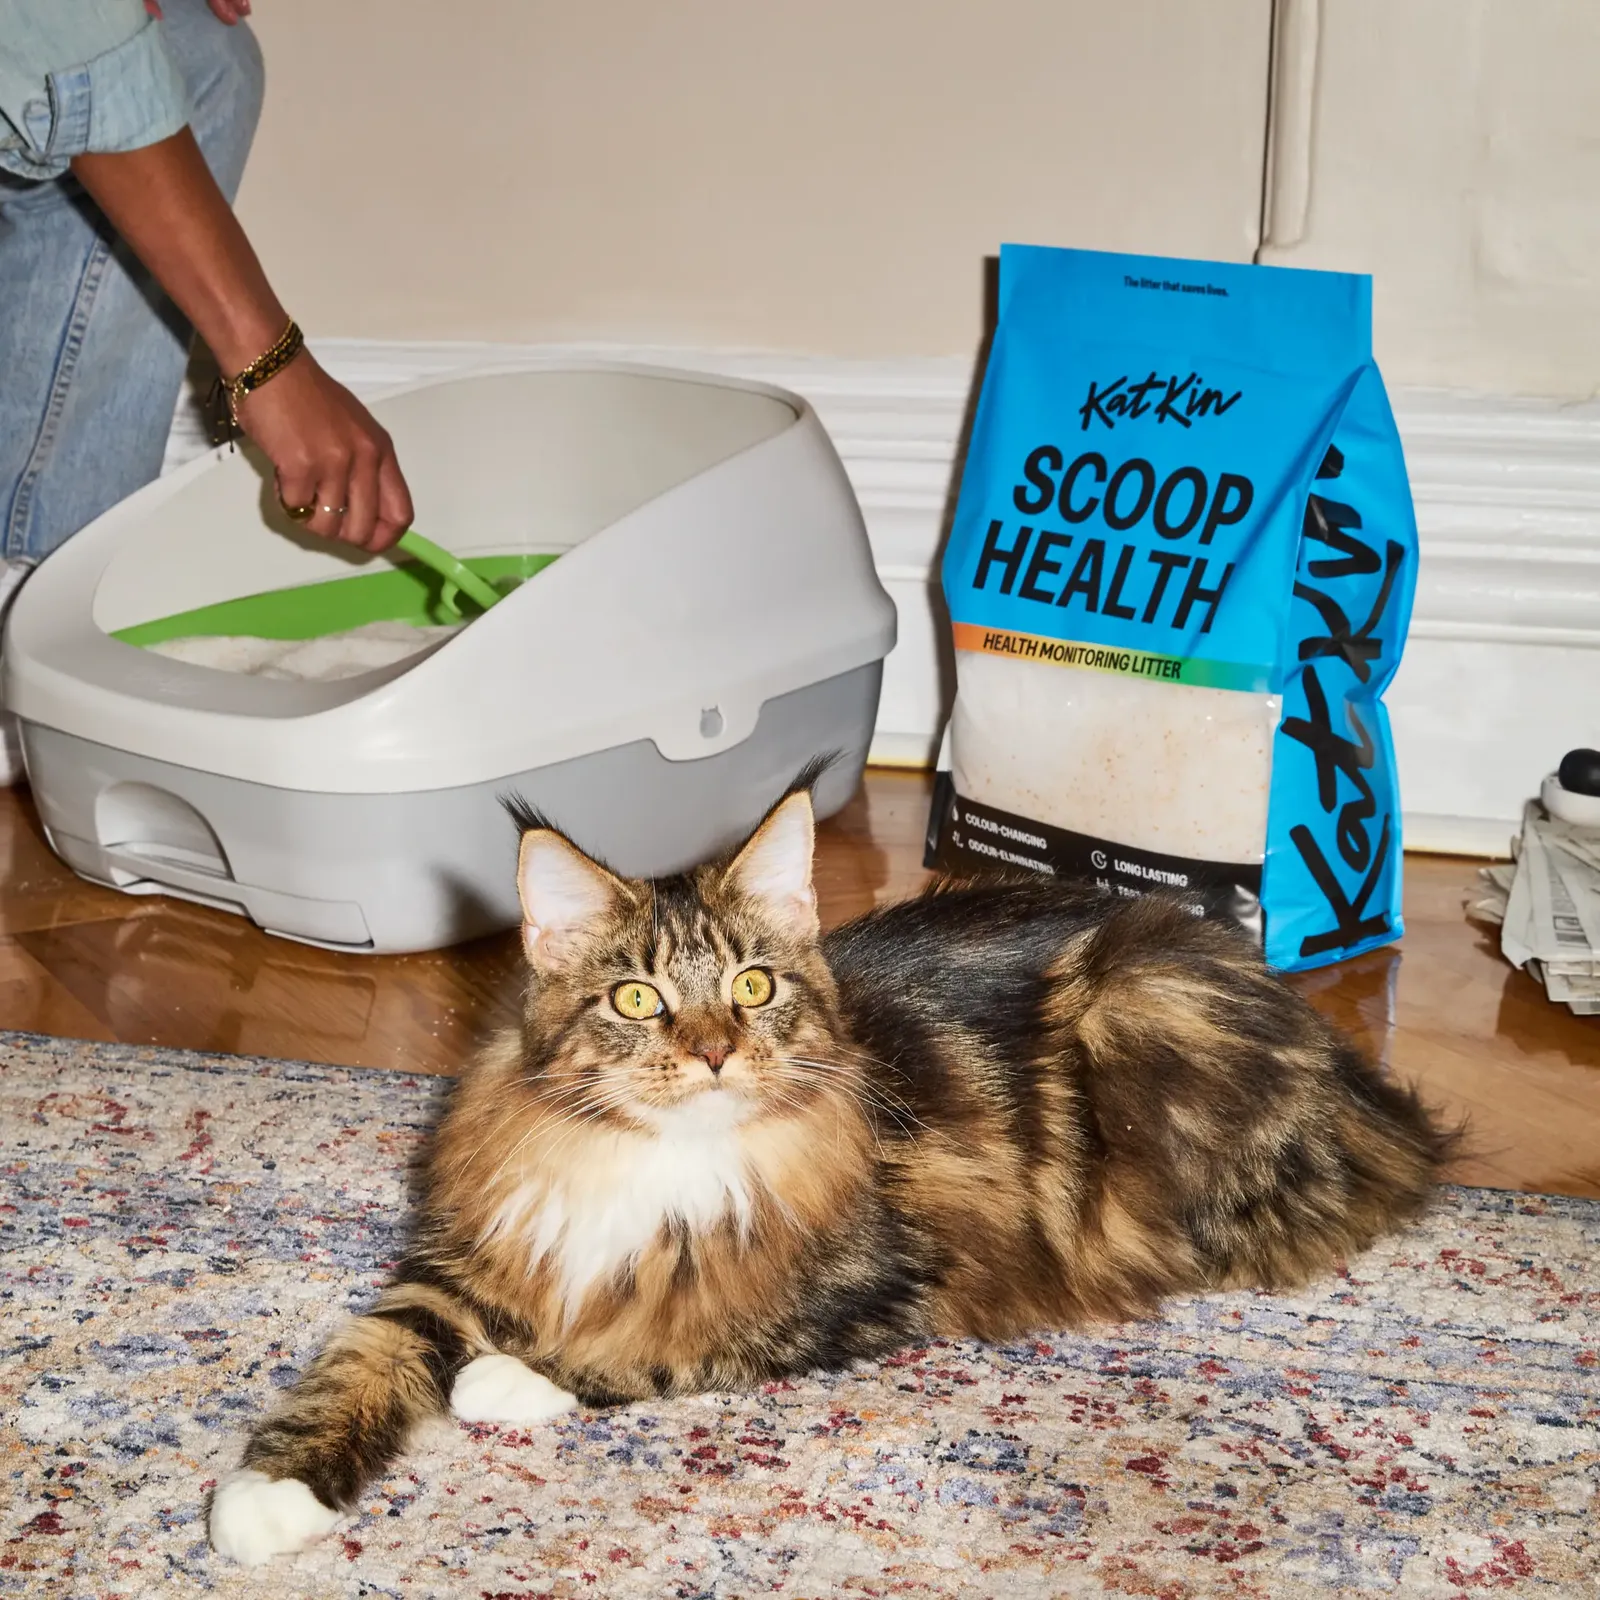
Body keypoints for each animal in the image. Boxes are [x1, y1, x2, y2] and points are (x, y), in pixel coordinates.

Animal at [206, 768, 1459, 1555]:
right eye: (637, 998)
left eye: (752, 984)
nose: (713, 1050)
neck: (656, 1162)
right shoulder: (465, 1258)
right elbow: (364, 1356)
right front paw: (268, 1493)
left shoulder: (878, 1278)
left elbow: (679, 1340)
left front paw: (515, 1377)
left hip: (1141, 1014)